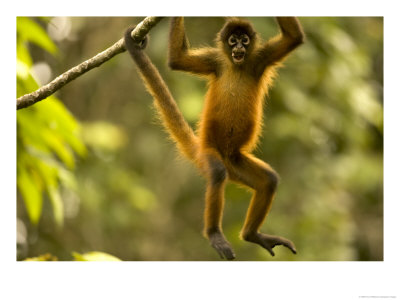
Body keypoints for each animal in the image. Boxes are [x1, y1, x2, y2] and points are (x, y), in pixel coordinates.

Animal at [123, 17, 304, 260]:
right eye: (233, 40)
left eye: (245, 40)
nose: (239, 48)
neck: (237, 64)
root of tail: (205, 150)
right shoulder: (215, 61)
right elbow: (176, 60)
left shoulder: (260, 57)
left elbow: (294, 37)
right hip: (211, 156)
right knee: (218, 174)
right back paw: (214, 234)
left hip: (237, 162)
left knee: (269, 181)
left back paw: (251, 235)